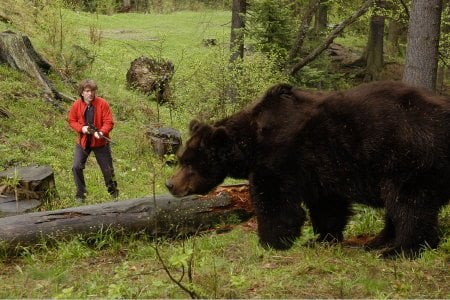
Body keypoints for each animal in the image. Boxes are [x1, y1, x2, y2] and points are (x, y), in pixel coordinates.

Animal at [166, 81, 450, 258]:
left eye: (190, 162)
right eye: (181, 158)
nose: (170, 185)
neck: (252, 142)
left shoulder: (280, 159)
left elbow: (276, 203)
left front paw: (270, 241)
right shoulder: (319, 168)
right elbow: (327, 205)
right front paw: (321, 238)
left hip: (408, 158)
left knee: (409, 205)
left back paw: (399, 250)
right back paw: (377, 242)